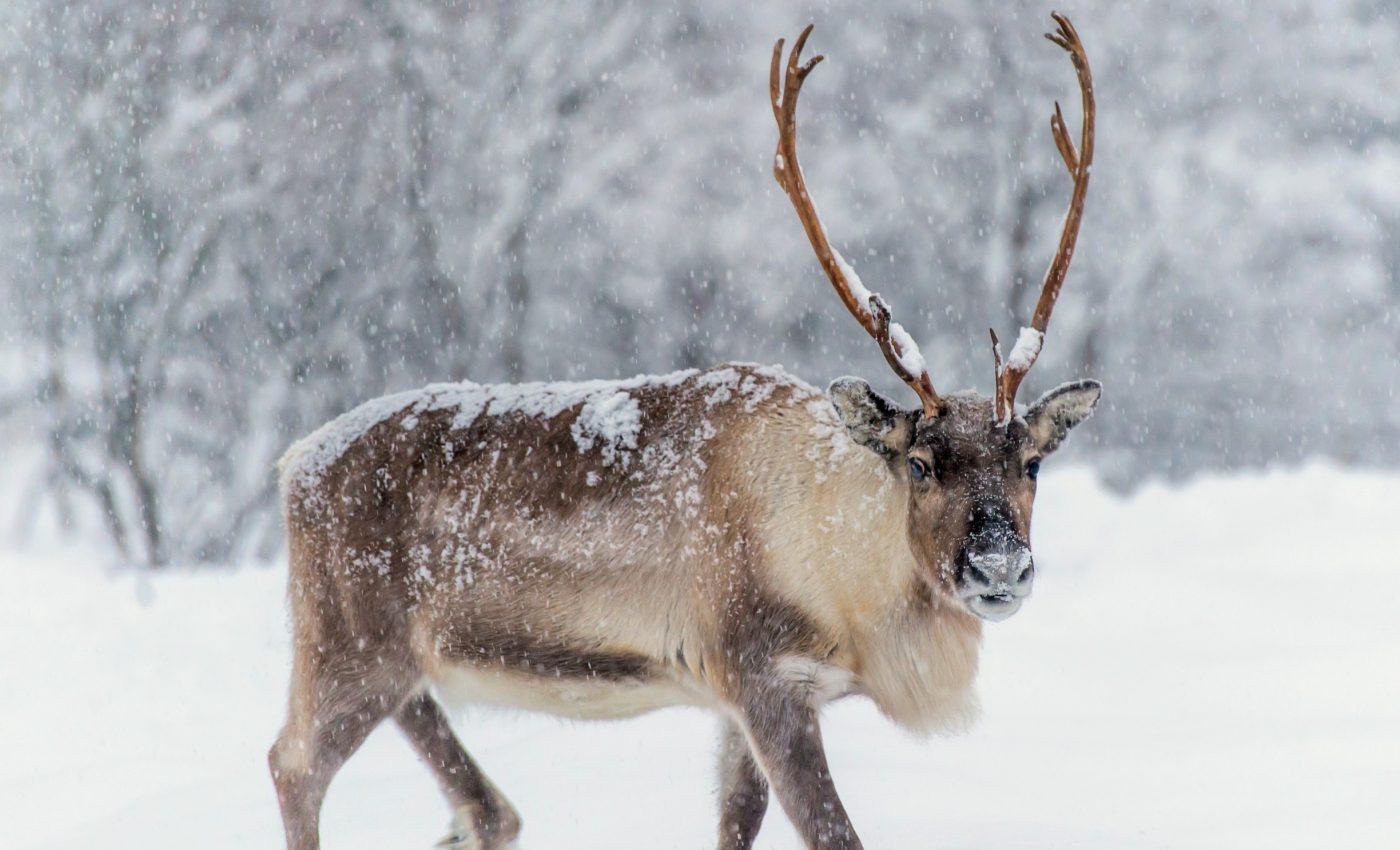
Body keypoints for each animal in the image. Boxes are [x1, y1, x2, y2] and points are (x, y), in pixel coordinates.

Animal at [269, 13, 1099, 850]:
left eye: (1031, 462)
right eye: (921, 463)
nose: (998, 568)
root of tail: (294, 462)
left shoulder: (741, 703)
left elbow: (735, 822)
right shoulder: (764, 678)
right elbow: (833, 833)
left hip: (402, 665)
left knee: (475, 793)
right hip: (345, 649)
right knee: (293, 763)